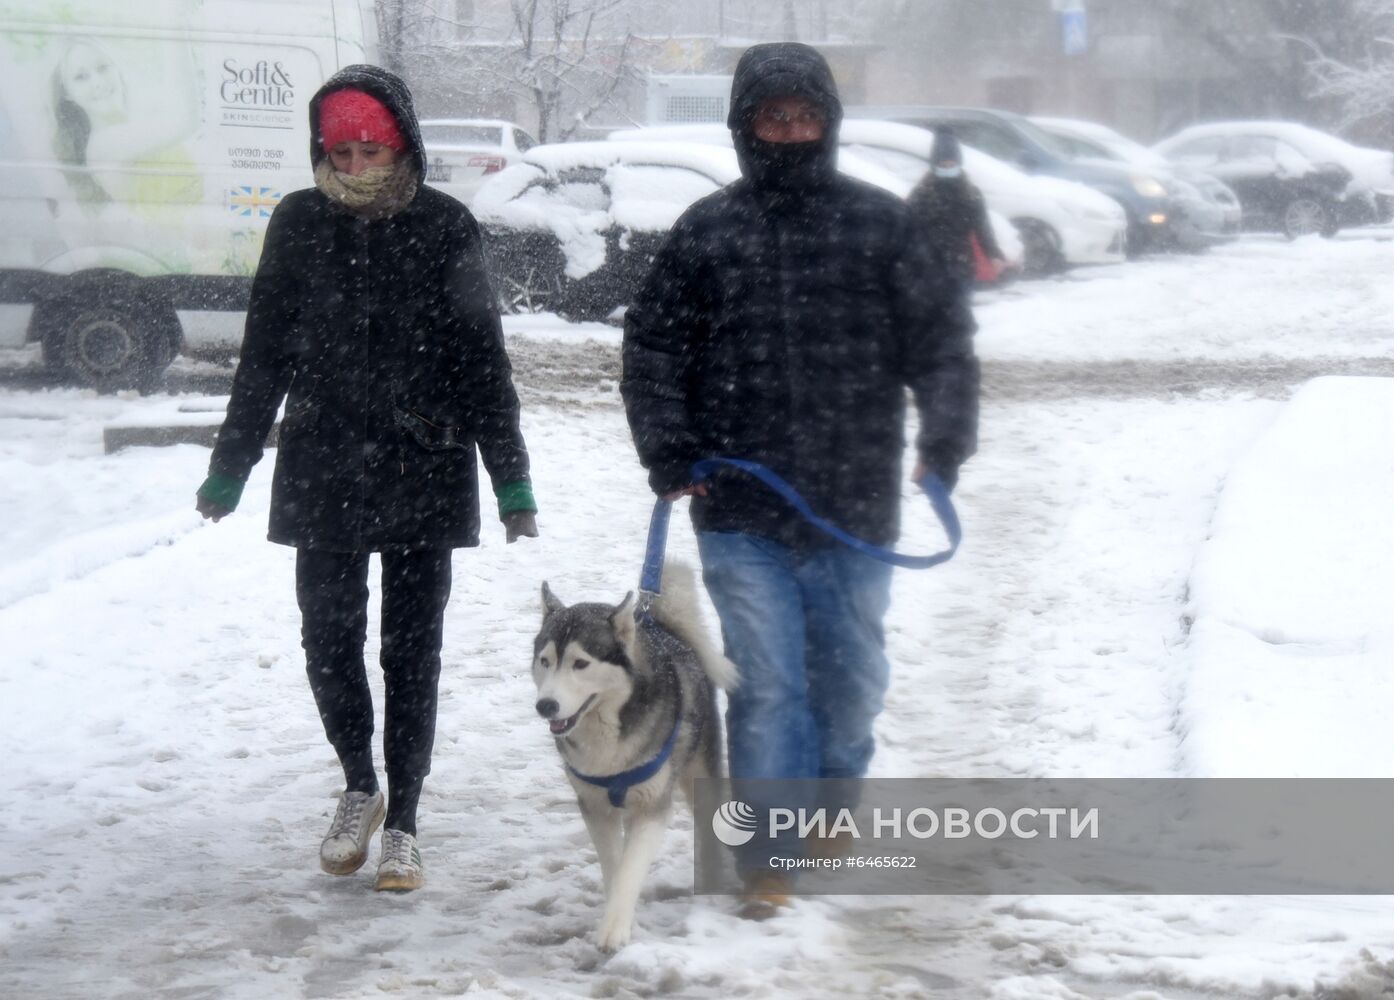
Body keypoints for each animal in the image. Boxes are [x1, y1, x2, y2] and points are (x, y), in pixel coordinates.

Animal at [529, 560, 741, 953]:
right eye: (545, 661)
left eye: (581, 663)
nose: (545, 705)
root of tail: (665, 628)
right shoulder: (595, 806)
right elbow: (615, 867)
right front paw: (621, 916)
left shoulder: (652, 805)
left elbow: (630, 869)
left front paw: (615, 930)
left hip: (697, 770)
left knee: (707, 826)